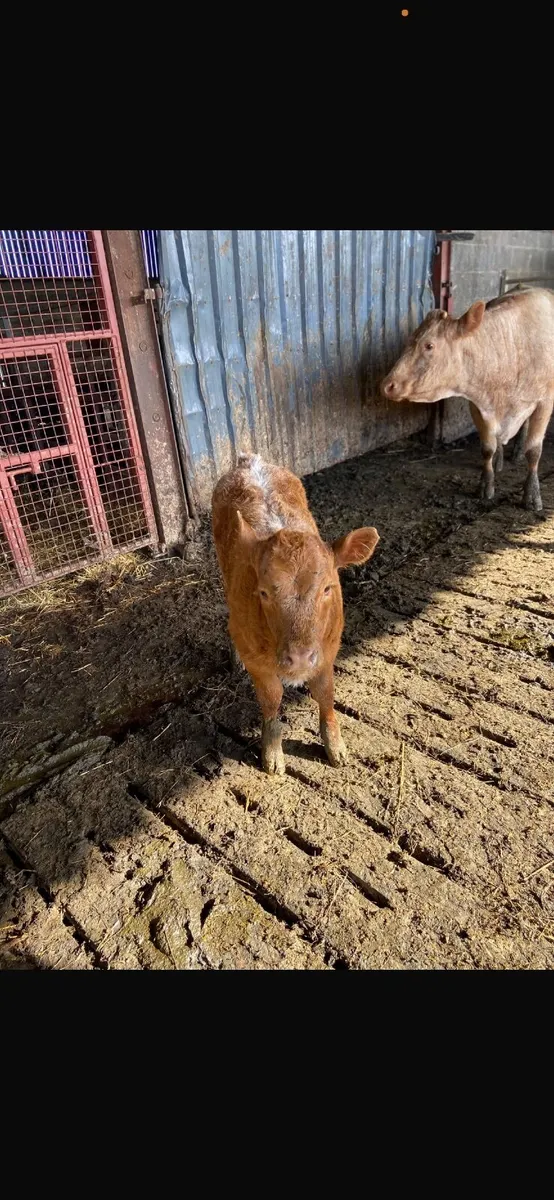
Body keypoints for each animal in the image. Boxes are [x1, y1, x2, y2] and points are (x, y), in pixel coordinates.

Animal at [212, 453, 379, 775]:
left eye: (327, 588)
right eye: (264, 592)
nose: (300, 658)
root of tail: (250, 460)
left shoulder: (328, 648)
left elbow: (325, 694)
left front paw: (336, 747)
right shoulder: (257, 660)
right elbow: (271, 699)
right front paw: (272, 754)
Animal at [381, 288, 554, 513]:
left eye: (429, 345)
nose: (387, 385)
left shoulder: (544, 402)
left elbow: (533, 451)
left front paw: (532, 494)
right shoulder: (477, 404)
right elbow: (487, 448)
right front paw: (486, 484)